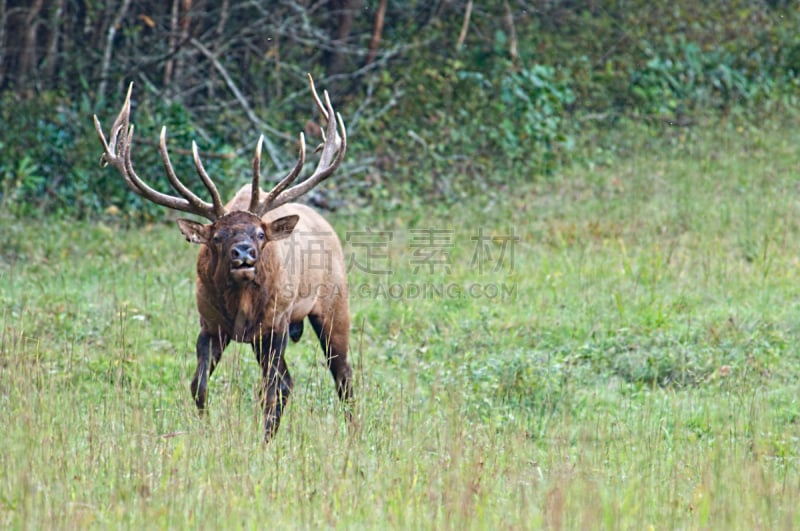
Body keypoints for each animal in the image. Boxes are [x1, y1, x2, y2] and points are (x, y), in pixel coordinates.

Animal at [94, 75, 354, 440]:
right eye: (217, 237)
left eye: (260, 234)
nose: (243, 254)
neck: (241, 304)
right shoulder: (210, 324)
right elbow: (198, 385)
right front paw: (207, 429)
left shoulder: (276, 324)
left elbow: (271, 389)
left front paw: (264, 442)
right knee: (291, 381)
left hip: (333, 304)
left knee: (341, 376)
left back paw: (352, 432)